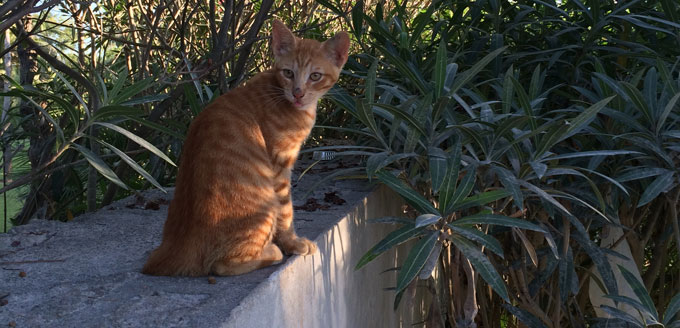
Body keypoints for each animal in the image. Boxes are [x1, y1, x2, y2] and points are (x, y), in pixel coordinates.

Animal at [141, 20, 348, 276]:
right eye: (288, 73)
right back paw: (272, 251)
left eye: (315, 76)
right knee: (222, 265)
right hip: (263, 206)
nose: (298, 93)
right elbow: (286, 211)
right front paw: (292, 243)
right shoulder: (280, 165)